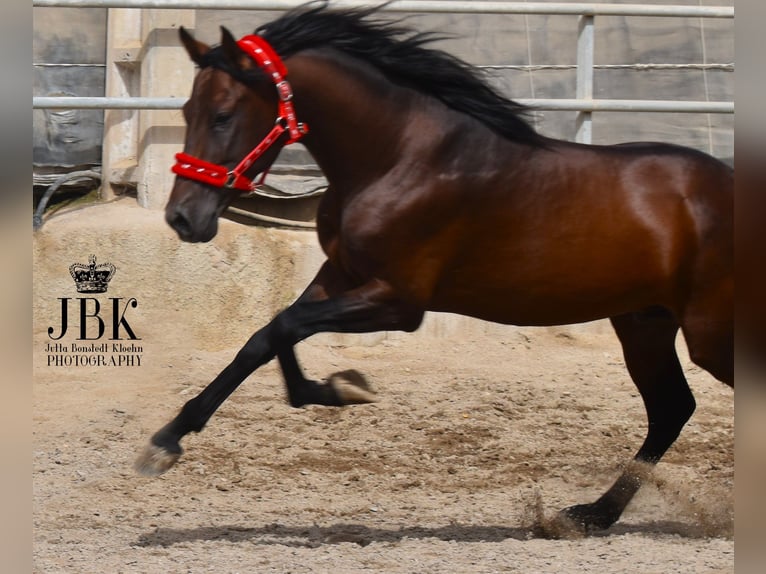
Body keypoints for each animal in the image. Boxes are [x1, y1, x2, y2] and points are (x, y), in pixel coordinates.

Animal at [135, 3, 736, 536]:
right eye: (186, 112)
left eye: (223, 115)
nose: (182, 217)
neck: (400, 156)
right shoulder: (341, 275)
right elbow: (266, 336)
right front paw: (169, 440)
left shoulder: (399, 301)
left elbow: (284, 326)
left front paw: (343, 388)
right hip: (644, 322)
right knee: (672, 408)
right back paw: (589, 515)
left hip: (707, 330)